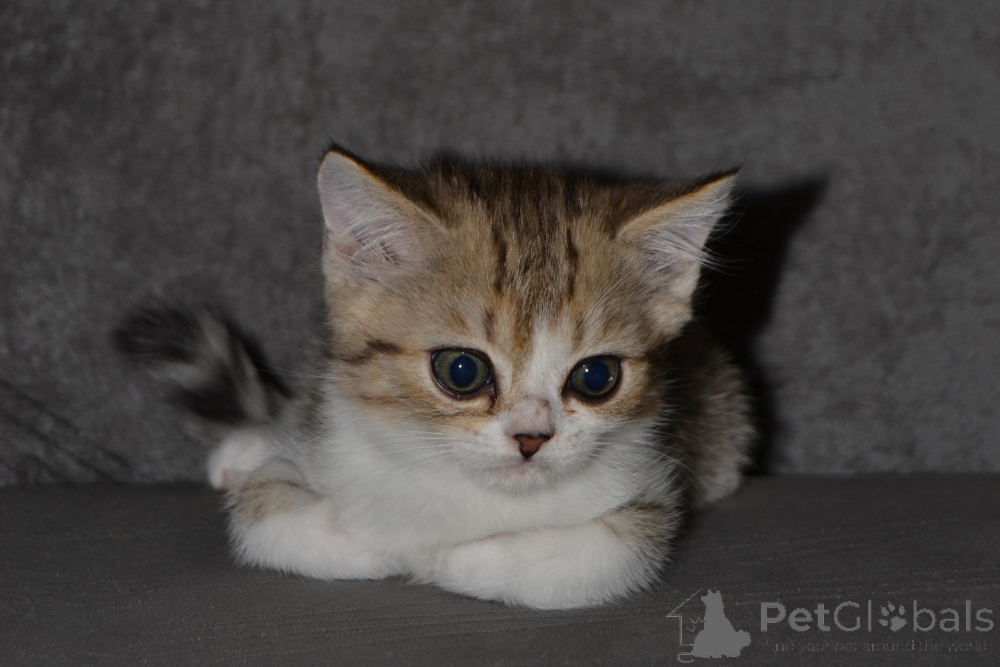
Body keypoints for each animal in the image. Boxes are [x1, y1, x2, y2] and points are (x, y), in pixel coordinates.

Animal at [116, 145, 754, 609]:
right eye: (462, 370)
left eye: (596, 377)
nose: (531, 437)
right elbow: (262, 512)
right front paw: (371, 545)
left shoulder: (650, 483)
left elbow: (612, 553)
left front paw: (451, 560)